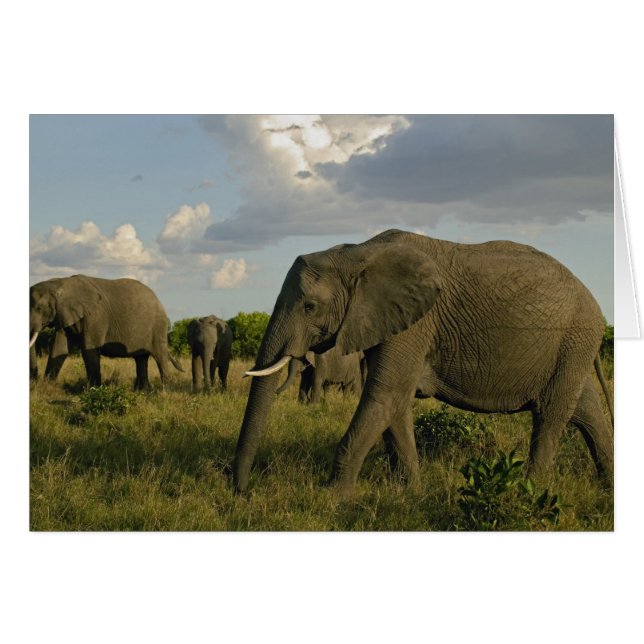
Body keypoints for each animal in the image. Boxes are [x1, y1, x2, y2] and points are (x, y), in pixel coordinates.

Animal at [29, 274, 183, 390]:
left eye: (38, 308)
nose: (34, 381)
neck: (59, 283)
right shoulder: (65, 315)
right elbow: (59, 349)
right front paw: (46, 388)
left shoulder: (95, 317)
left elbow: (89, 351)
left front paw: (93, 390)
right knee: (141, 358)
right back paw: (142, 391)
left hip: (158, 327)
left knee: (159, 356)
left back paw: (164, 391)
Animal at [233, 229, 613, 498]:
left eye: (309, 307)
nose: (241, 491)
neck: (356, 253)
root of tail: (596, 306)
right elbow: (395, 403)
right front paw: (409, 491)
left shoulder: (414, 324)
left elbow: (384, 396)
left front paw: (331, 498)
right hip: (572, 347)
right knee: (585, 410)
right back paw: (608, 486)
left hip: (574, 339)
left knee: (550, 414)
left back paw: (527, 491)